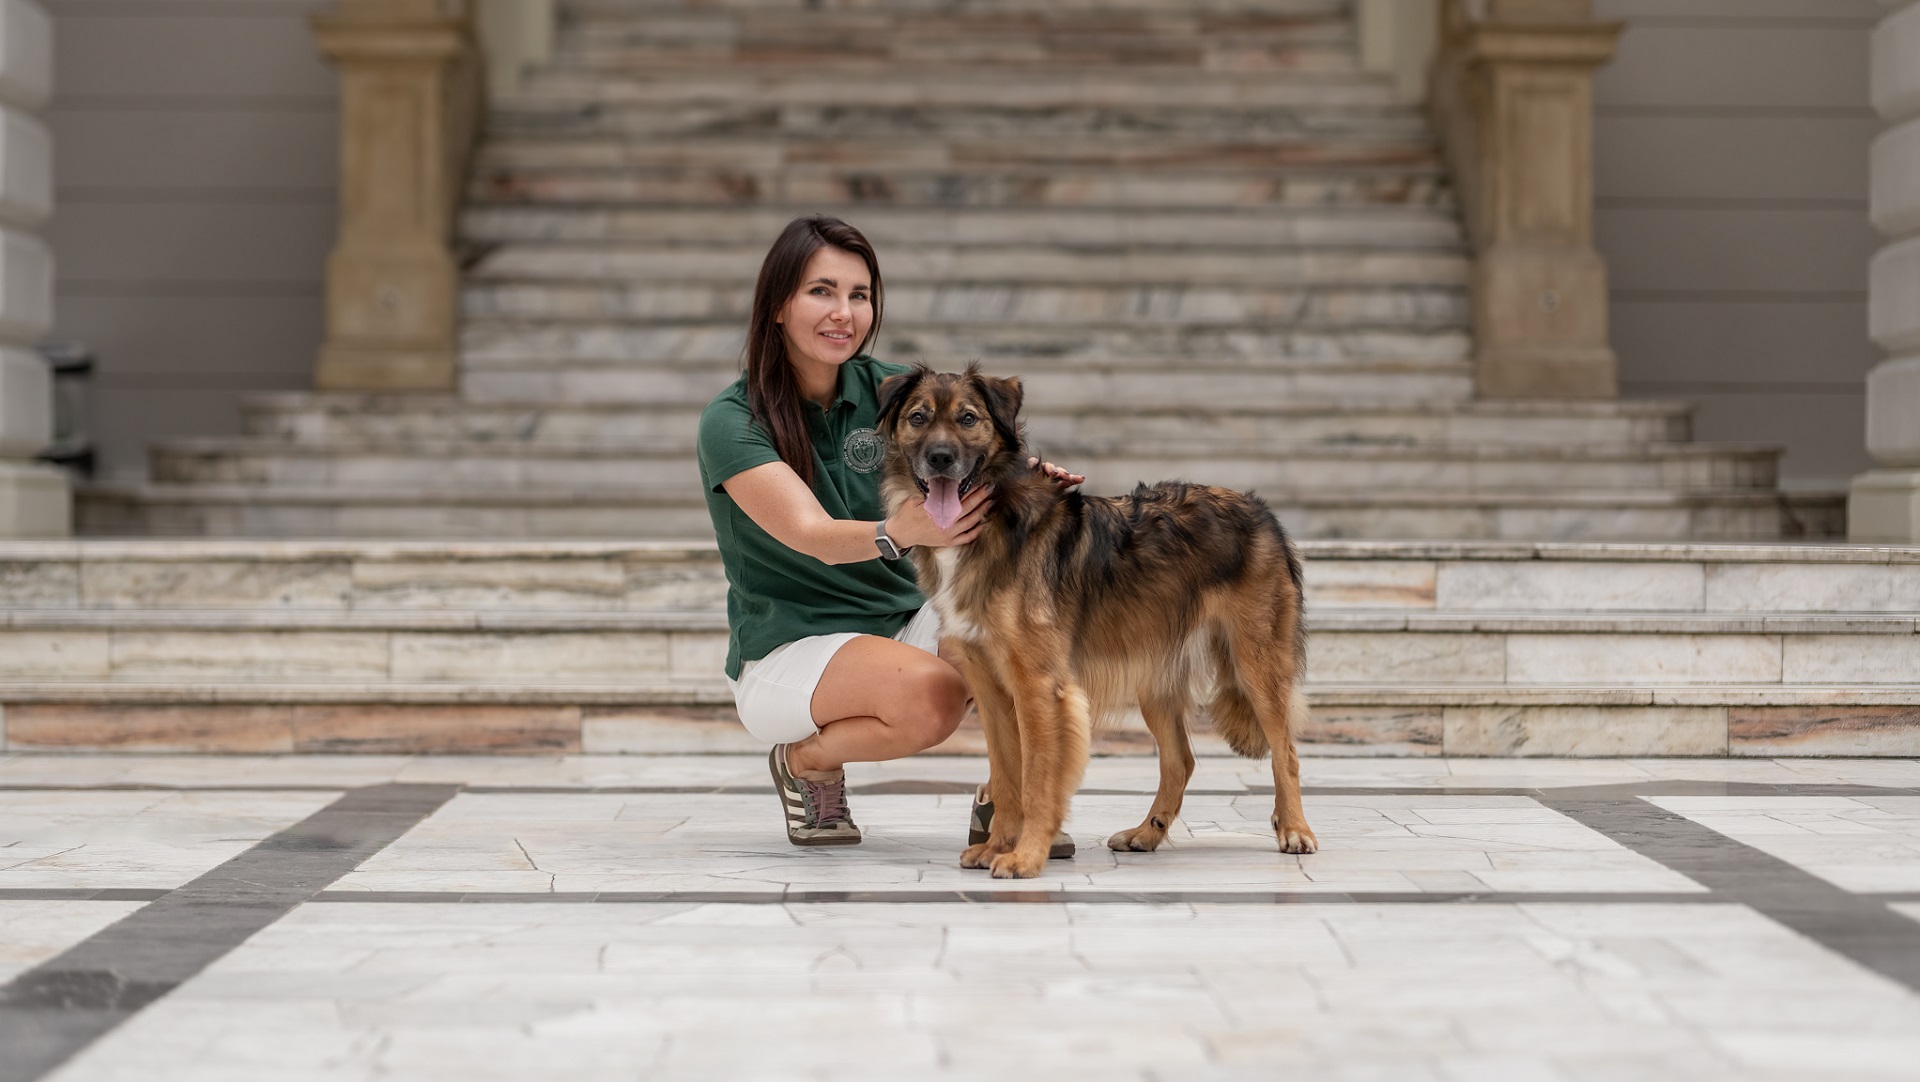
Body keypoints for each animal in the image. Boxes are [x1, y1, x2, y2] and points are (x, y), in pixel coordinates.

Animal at [875, 362, 1313, 878]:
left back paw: (1295, 829)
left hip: (1257, 664)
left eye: (968, 418)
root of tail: (1262, 511)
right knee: (1180, 761)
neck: (993, 519)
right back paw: (1147, 833)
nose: (940, 458)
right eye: (918, 418)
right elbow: (1006, 777)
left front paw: (1024, 856)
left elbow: (1036, 778)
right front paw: (996, 846)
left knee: (1285, 752)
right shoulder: (989, 686)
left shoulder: (1039, 687)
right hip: (1155, 678)